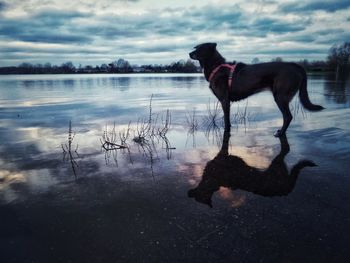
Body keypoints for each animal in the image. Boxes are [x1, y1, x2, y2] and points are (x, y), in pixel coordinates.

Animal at [190, 42, 324, 137]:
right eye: (195, 47)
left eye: (199, 48)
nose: (189, 54)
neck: (216, 66)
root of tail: (295, 65)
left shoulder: (224, 100)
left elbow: (226, 120)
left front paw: (226, 131)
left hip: (280, 97)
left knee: (288, 117)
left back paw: (280, 133)